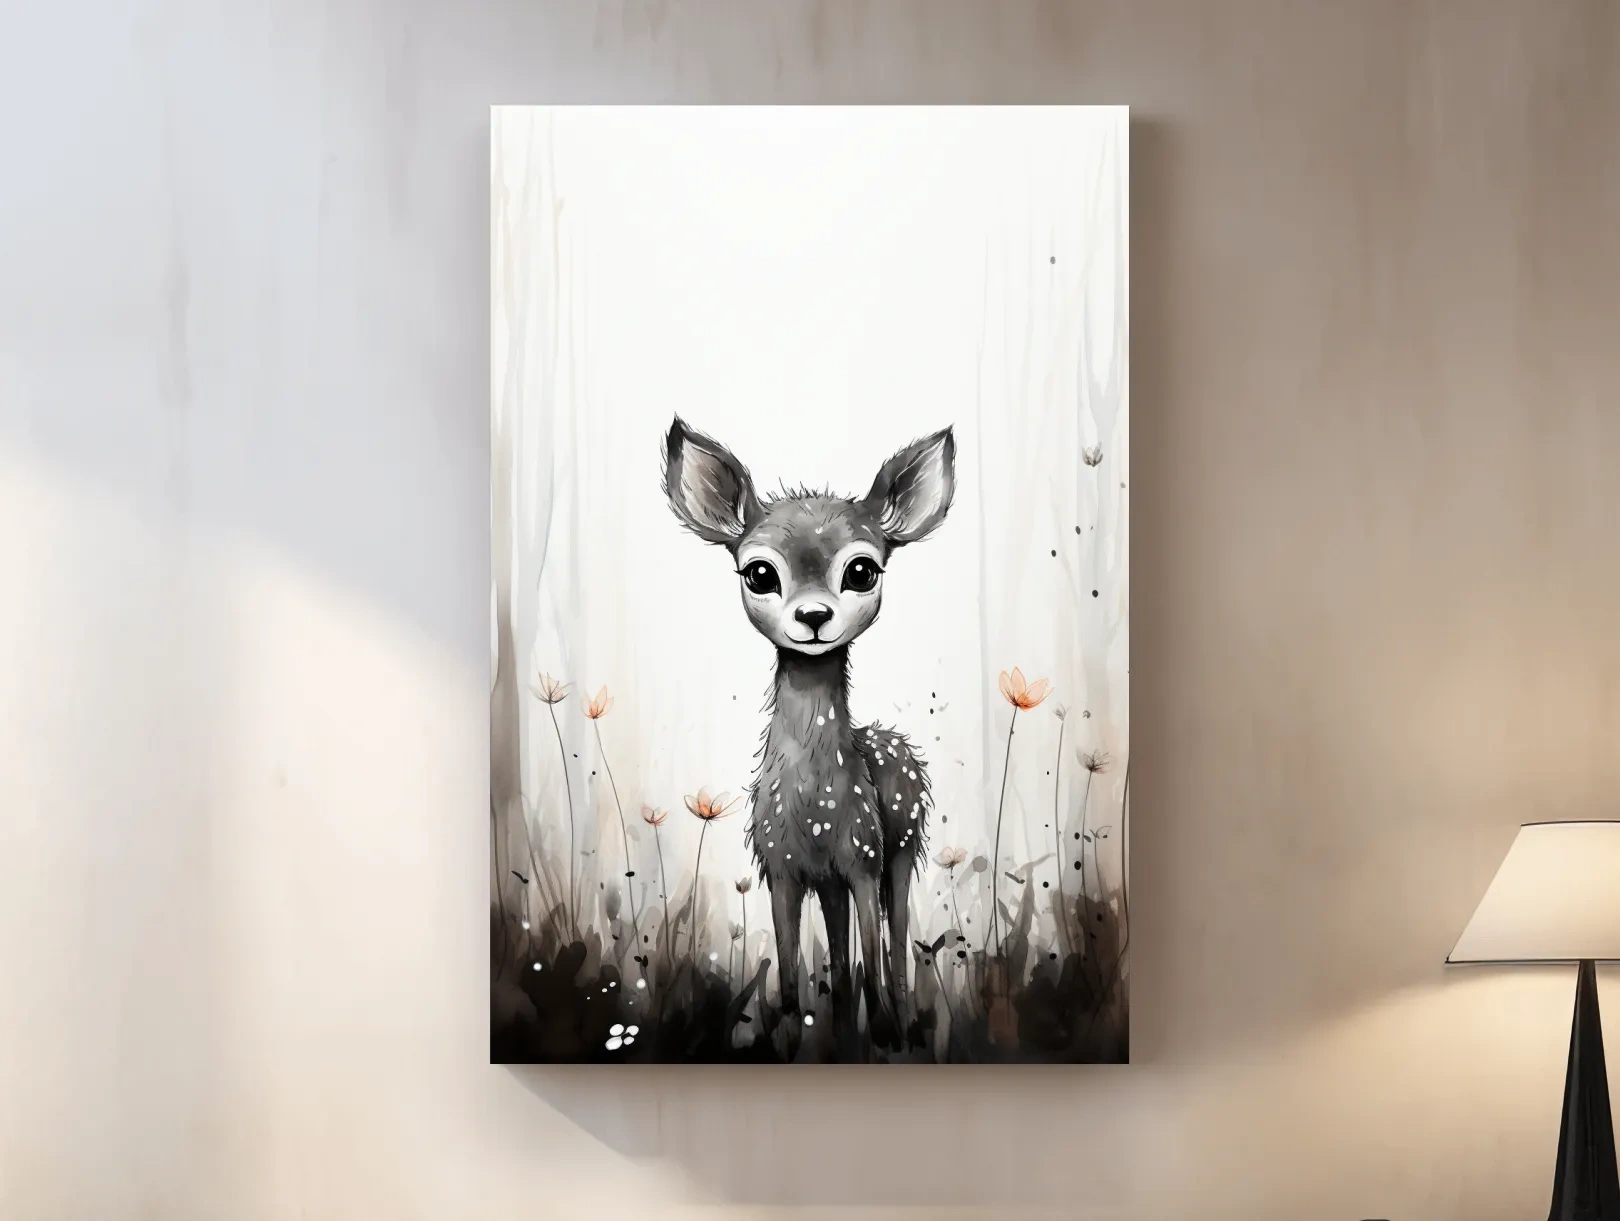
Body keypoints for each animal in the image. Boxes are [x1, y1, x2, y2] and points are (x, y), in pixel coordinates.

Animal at [662, 416, 955, 1047]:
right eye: (759, 572)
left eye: (862, 569)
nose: (814, 616)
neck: (815, 806)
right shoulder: (782, 868)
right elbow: (794, 977)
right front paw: (793, 1036)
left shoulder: (864, 857)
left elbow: (874, 952)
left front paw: (884, 1033)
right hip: (833, 880)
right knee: (841, 959)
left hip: (901, 847)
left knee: (894, 942)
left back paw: (897, 1023)